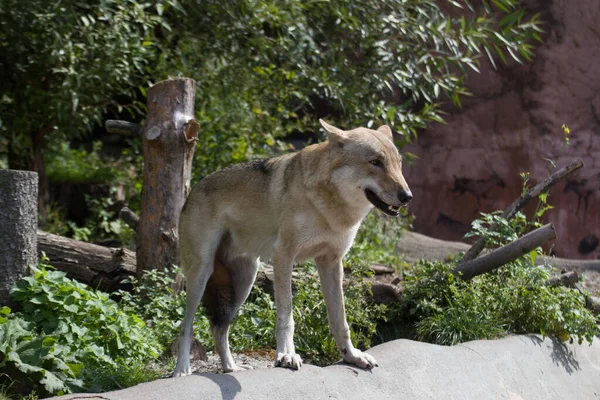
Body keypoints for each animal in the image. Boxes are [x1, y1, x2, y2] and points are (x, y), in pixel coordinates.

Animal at [173, 119, 412, 376]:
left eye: (398, 163)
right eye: (375, 162)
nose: (407, 196)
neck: (328, 207)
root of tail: (193, 189)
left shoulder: (332, 263)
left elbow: (341, 320)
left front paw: (352, 356)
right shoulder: (283, 257)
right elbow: (286, 316)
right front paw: (286, 355)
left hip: (245, 281)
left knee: (219, 329)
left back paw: (231, 368)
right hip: (202, 274)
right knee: (186, 325)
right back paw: (182, 370)